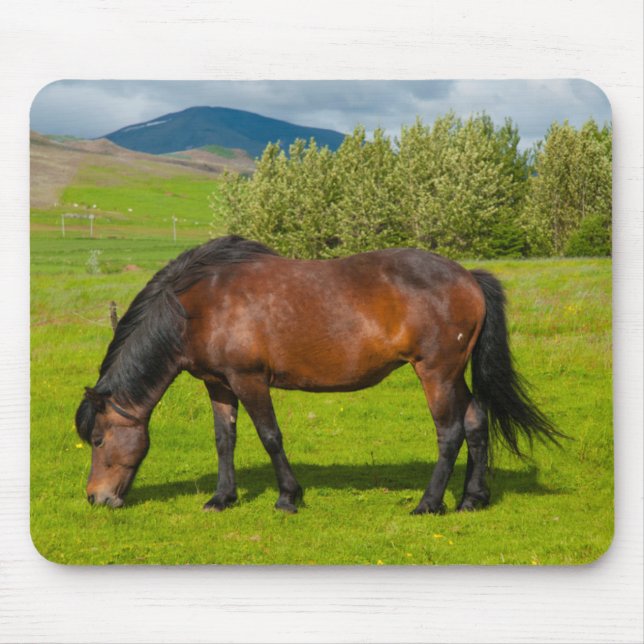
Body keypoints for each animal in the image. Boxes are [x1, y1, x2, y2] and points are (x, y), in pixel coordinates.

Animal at [75, 235, 562, 514]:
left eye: (98, 440)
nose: (97, 498)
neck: (199, 305)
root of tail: (468, 277)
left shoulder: (249, 379)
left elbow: (270, 437)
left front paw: (288, 497)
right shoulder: (219, 384)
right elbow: (224, 440)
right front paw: (222, 498)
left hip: (437, 374)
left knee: (451, 432)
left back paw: (429, 504)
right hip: (454, 374)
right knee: (477, 420)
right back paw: (472, 499)